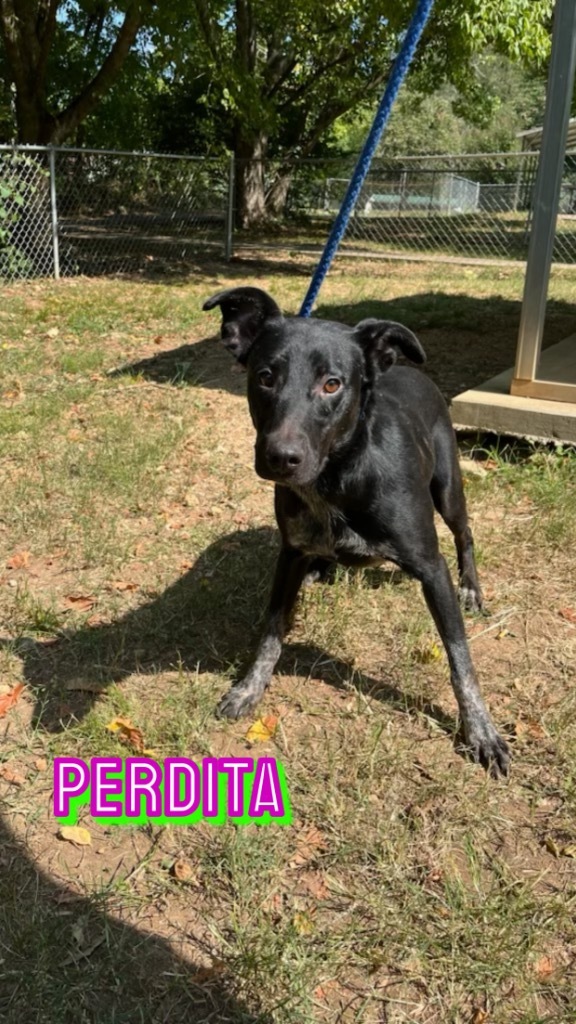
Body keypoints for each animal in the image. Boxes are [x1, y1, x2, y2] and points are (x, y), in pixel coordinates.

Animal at [201, 288, 506, 774]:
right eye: (265, 377)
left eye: (332, 384)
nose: (281, 458)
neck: (337, 480)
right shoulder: (289, 554)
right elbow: (271, 631)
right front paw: (249, 687)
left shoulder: (431, 568)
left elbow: (460, 658)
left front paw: (480, 729)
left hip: (448, 489)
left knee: (465, 534)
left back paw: (472, 588)